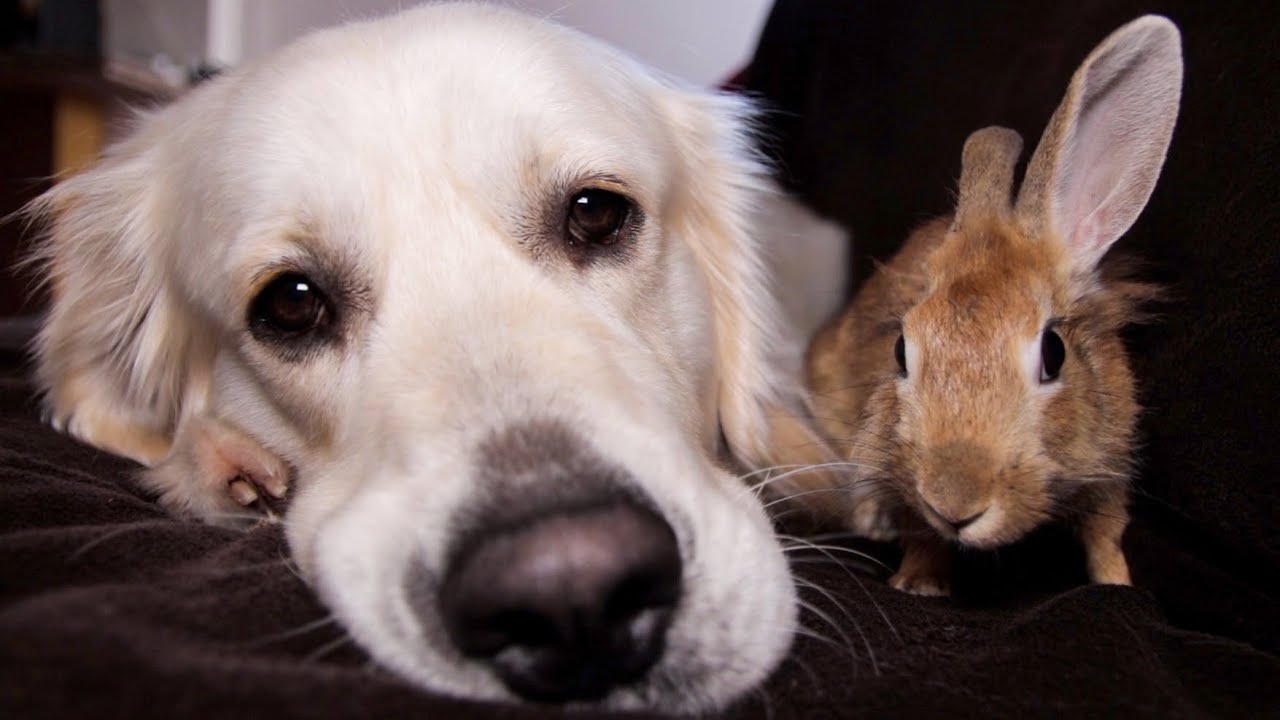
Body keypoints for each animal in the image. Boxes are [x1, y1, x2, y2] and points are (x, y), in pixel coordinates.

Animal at [805, 15, 1182, 596]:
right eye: (900, 352)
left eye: (1053, 354)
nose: (955, 503)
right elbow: (918, 529)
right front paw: (919, 584)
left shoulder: (1112, 457)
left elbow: (1106, 534)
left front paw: (1119, 585)